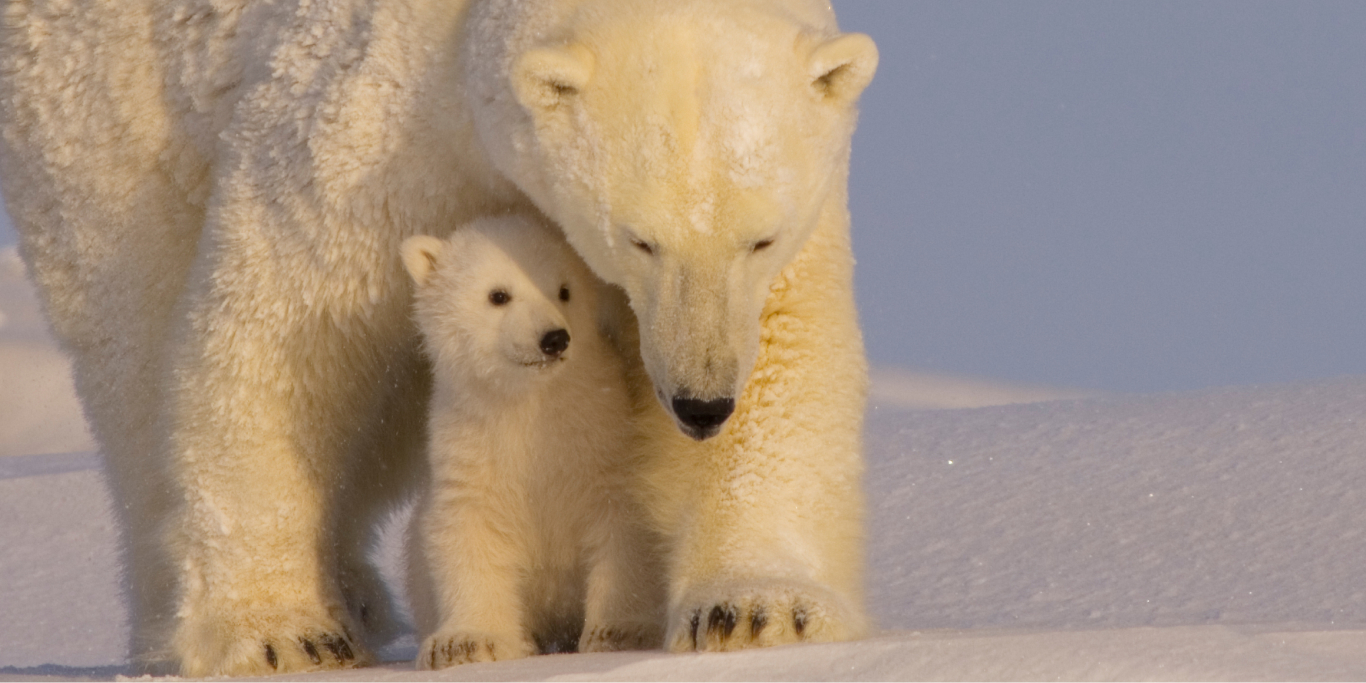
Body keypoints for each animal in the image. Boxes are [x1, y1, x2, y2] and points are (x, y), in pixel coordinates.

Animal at [398, 217, 661, 666]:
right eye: (498, 295)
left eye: (565, 290)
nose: (553, 338)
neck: (530, 409)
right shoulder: (469, 451)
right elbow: (465, 532)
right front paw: (466, 643)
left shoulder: (605, 448)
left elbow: (623, 530)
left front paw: (620, 632)